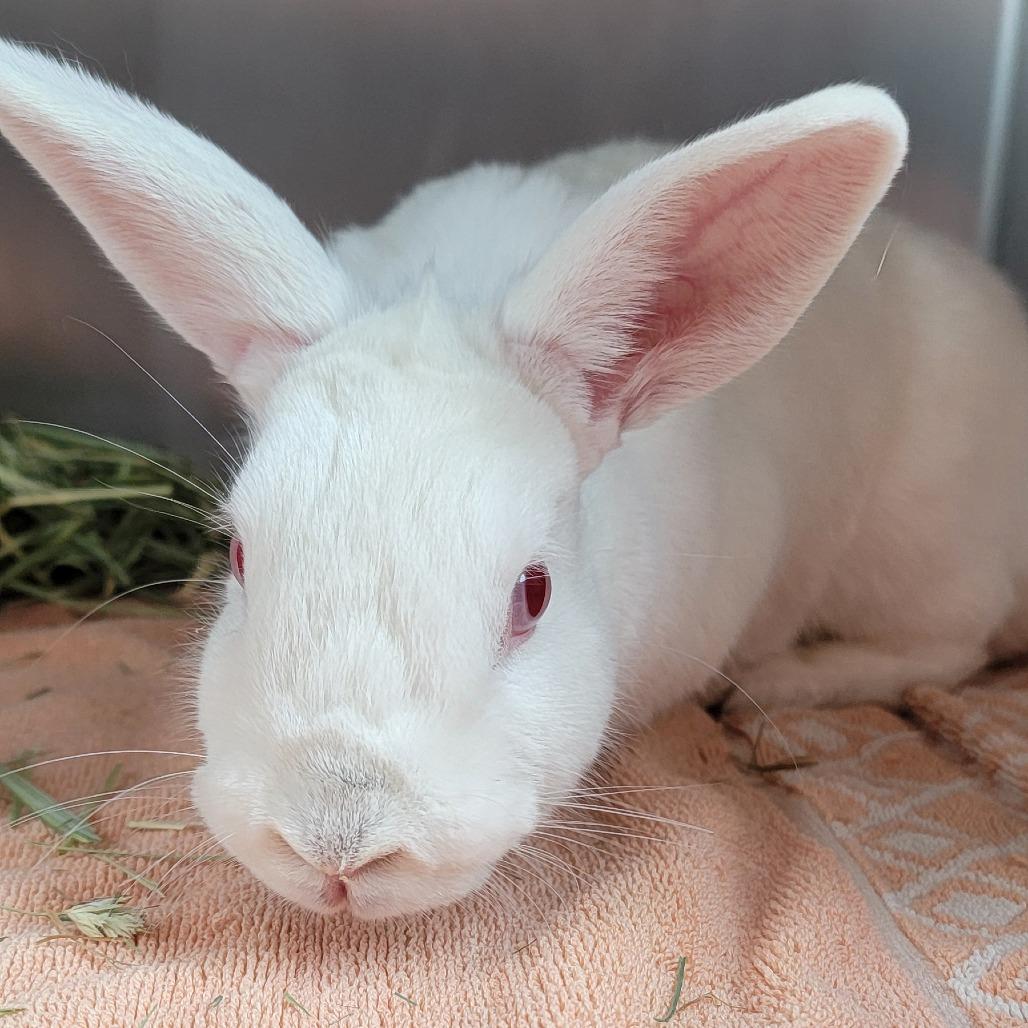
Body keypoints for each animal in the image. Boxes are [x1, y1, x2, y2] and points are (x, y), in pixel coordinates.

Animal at [2, 37, 1028, 920]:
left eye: (534, 594)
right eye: (240, 558)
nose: (338, 849)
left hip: (919, 546)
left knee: (950, 647)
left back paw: (786, 680)